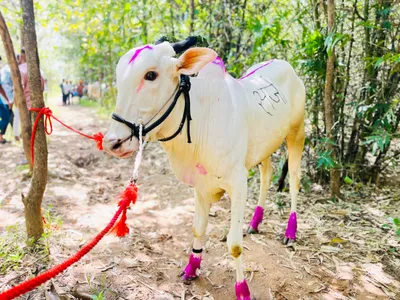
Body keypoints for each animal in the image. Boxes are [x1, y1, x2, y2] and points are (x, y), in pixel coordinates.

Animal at [102, 40, 304, 300]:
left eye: (150, 75)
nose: (112, 143)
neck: (200, 119)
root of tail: (286, 66)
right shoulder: (200, 185)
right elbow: (198, 229)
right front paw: (191, 268)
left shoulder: (238, 183)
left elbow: (234, 245)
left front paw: (242, 289)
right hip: (265, 147)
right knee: (267, 175)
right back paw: (256, 222)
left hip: (297, 134)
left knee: (295, 181)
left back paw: (291, 231)